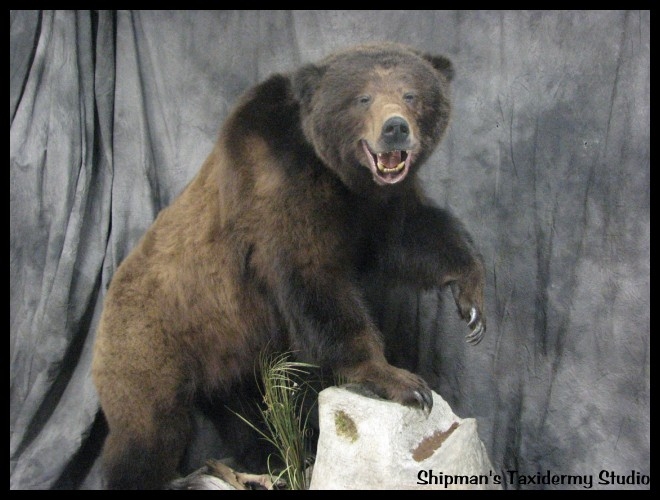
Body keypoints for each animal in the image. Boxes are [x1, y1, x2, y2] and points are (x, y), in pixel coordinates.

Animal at [92, 42, 486, 490]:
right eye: (363, 97)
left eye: (411, 94)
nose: (395, 128)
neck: (335, 174)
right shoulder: (278, 187)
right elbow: (314, 281)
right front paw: (399, 379)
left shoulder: (375, 208)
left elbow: (414, 235)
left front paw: (471, 298)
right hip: (151, 341)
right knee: (149, 430)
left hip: (228, 353)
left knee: (246, 411)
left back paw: (271, 457)